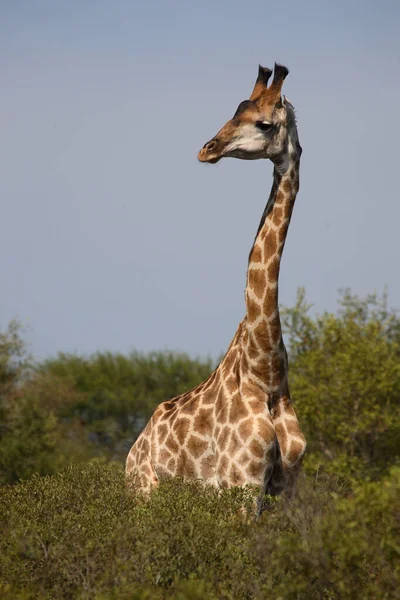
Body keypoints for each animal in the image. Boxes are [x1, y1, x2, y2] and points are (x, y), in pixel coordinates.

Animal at [125, 62, 306, 510]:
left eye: (263, 123)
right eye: (234, 111)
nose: (208, 148)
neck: (267, 371)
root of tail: (131, 452)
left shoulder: (285, 491)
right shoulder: (240, 484)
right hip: (144, 493)